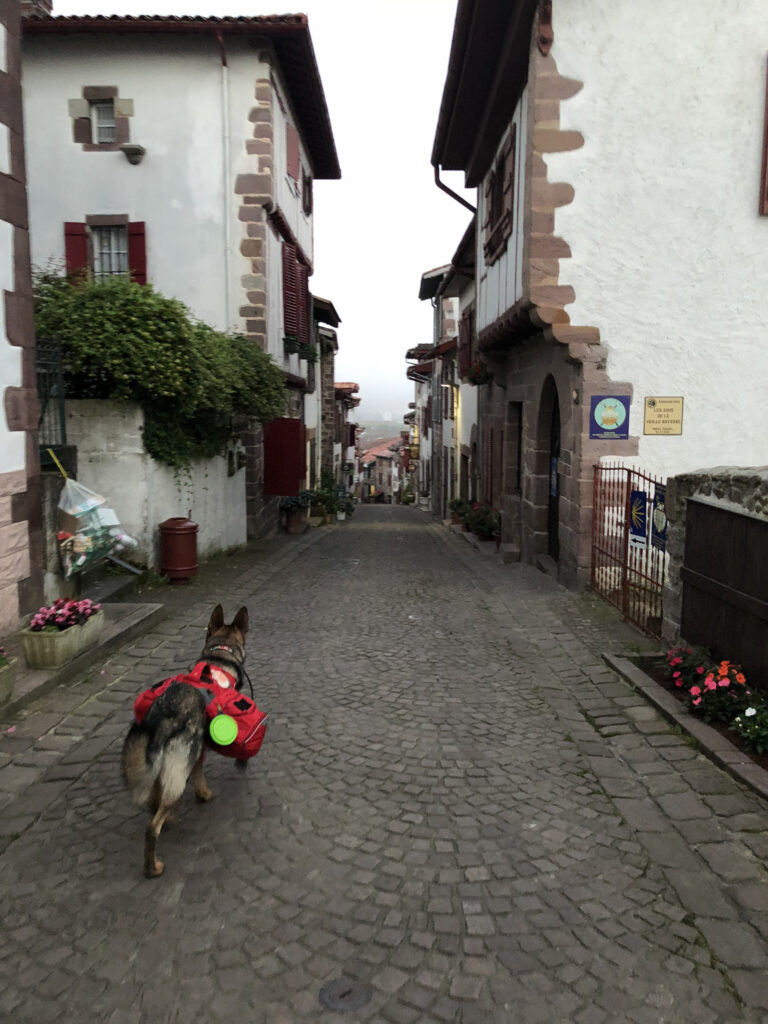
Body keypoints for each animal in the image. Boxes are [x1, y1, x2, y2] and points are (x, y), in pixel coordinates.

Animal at [120, 602, 249, 876]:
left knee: (153, 805)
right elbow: (200, 775)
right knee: (152, 827)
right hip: (179, 772)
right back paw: (153, 868)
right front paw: (204, 794)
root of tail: (163, 720)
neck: (220, 654)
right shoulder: (199, 749)